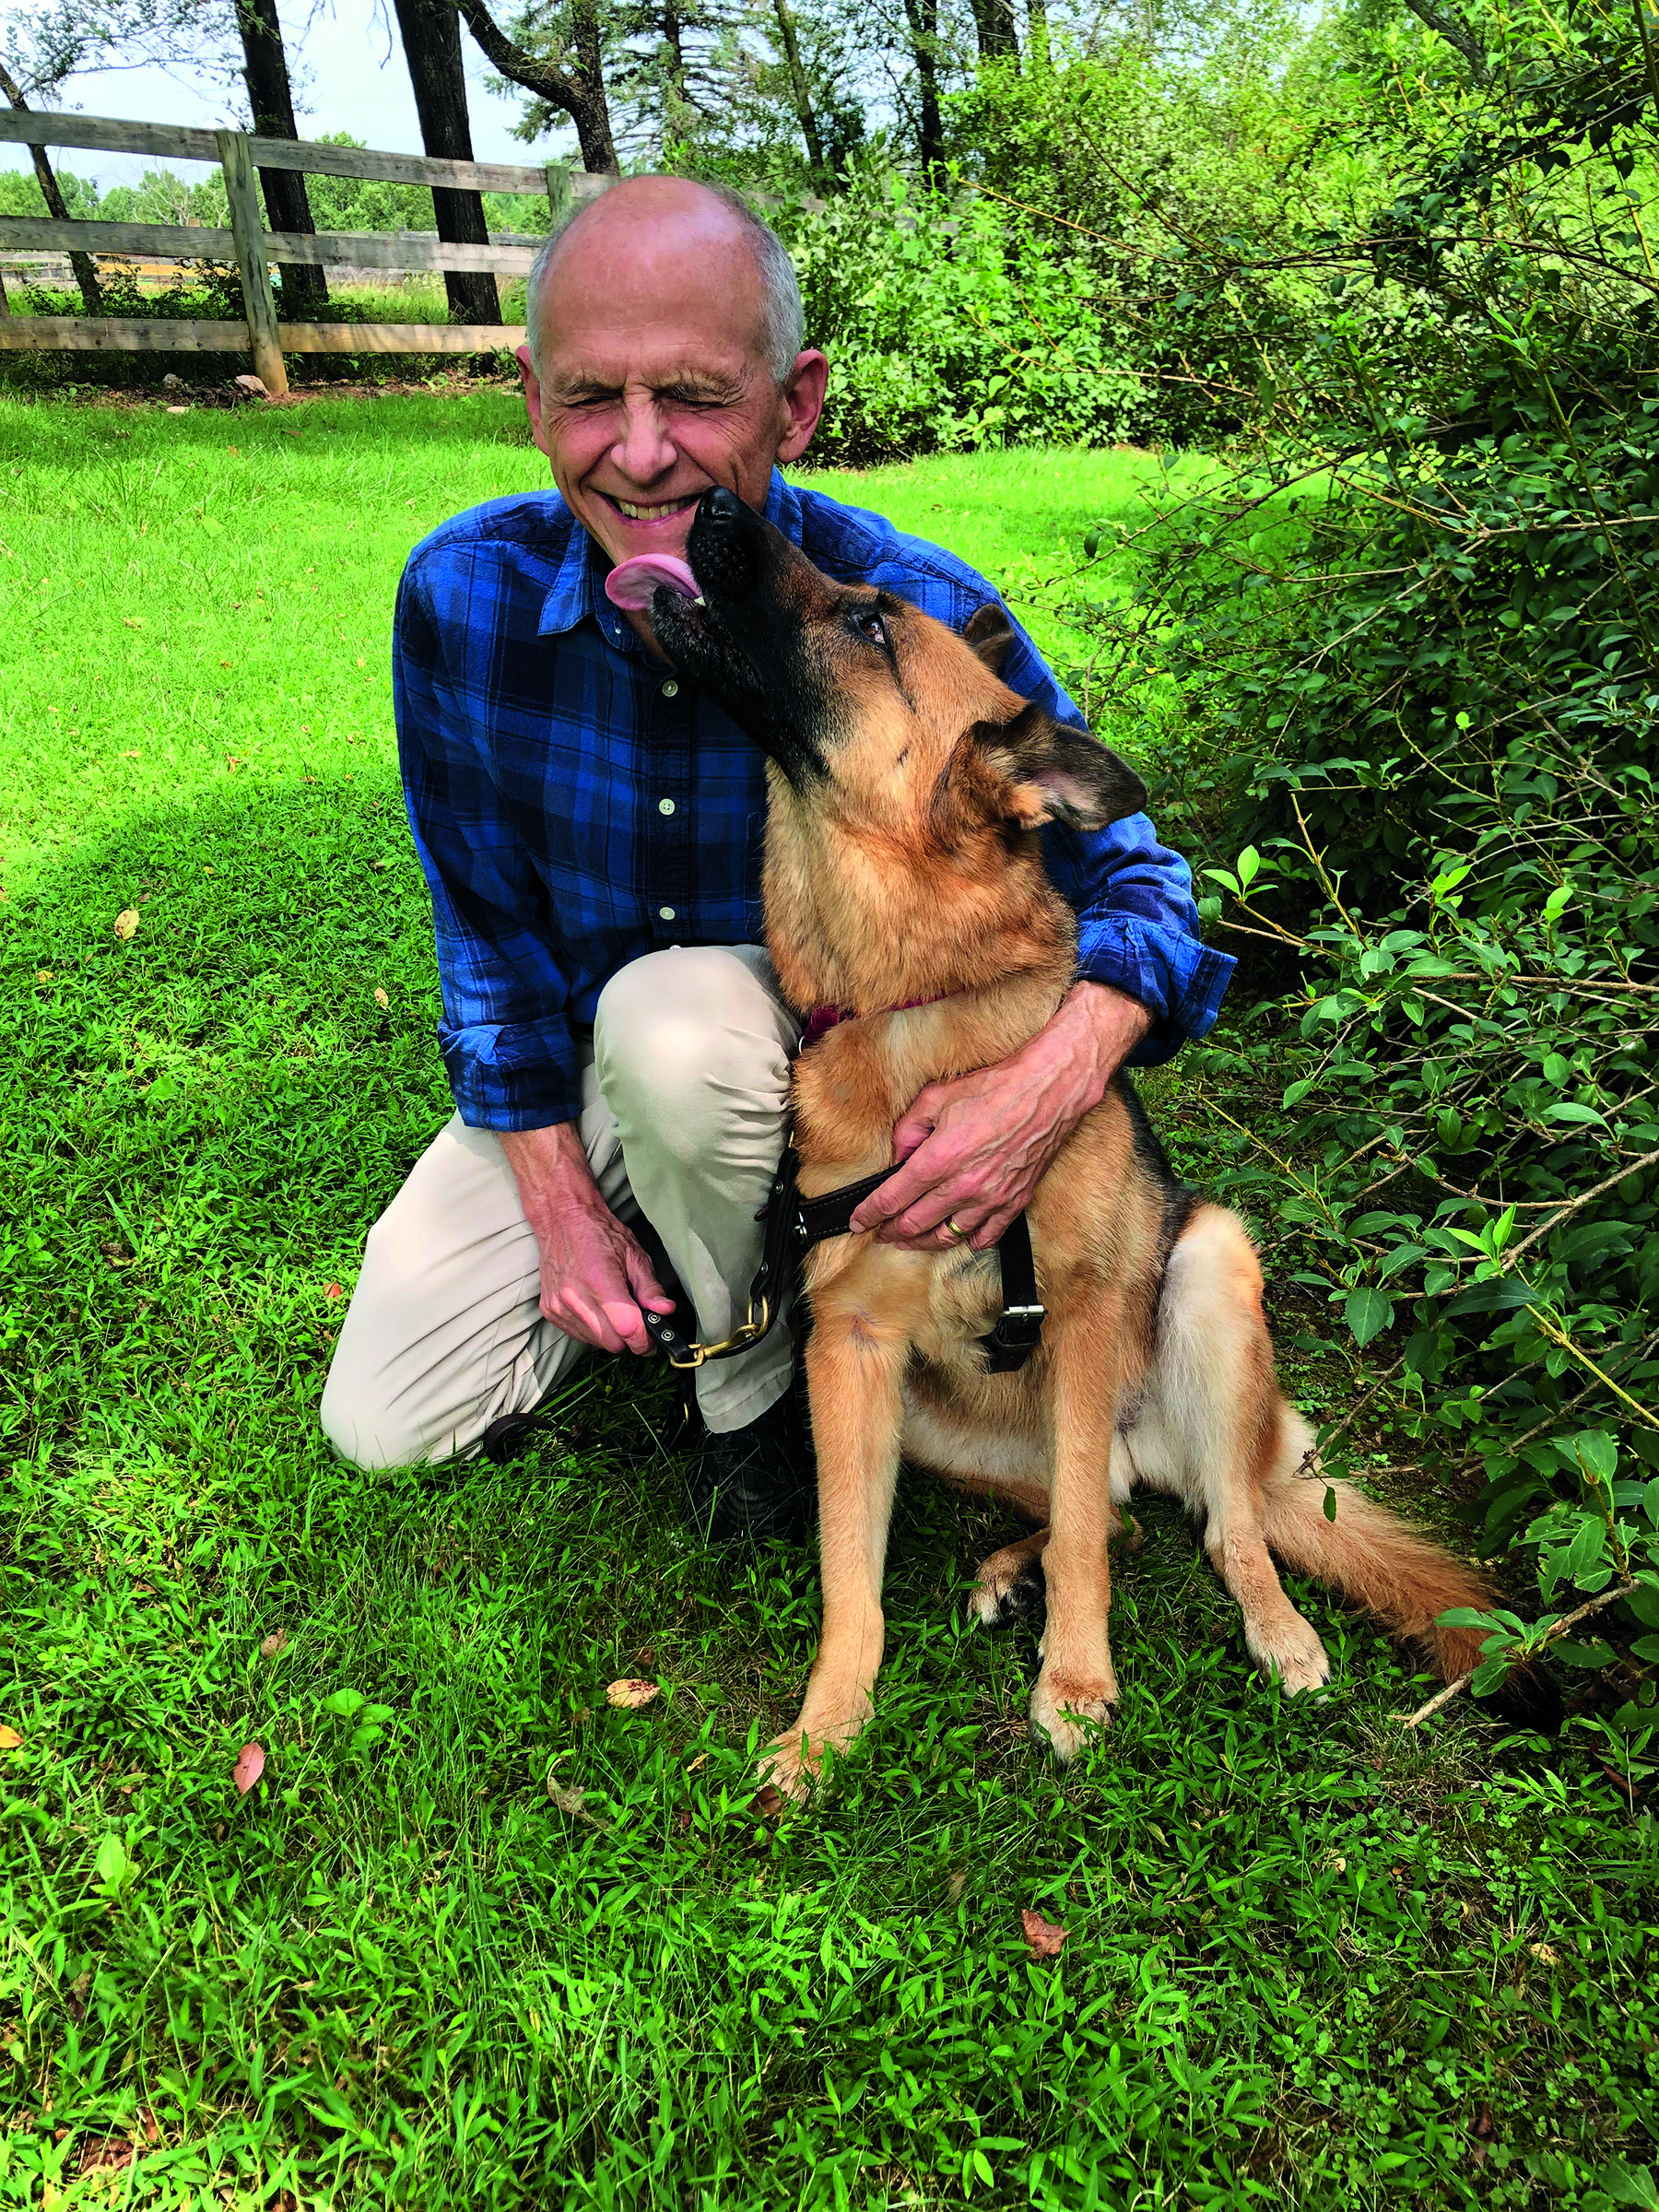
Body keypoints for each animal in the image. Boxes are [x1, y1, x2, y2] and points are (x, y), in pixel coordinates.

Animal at [654, 488, 1539, 1795]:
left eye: (870, 623)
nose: (716, 501)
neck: (909, 1000)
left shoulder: (1078, 1310)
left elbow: (1083, 1534)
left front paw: (1074, 1683)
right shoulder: (849, 1350)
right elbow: (850, 1578)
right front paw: (826, 1728)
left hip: (1212, 1275)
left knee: (1217, 1523)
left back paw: (1278, 1631)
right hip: (936, 1418)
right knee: (1123, 1501)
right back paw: (1004, 1569)